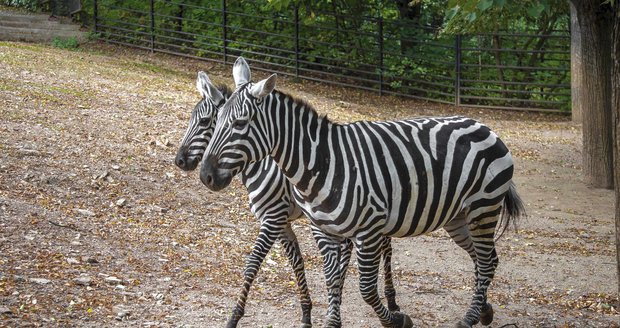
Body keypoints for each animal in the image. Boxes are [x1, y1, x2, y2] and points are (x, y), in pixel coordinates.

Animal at [173, 72, 402, 328]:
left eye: (203, 122)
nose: (179, 161)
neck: (262, 164)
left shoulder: (273, 216)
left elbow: (253, 264)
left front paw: (234, 316)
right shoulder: (282, 222)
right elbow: (296, 261)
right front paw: (307, 312)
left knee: (385, 247)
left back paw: (391, 300)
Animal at [200, 57, 528, 328]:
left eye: (240, 123)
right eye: (216, 122)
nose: (205, 175)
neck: (321, 162)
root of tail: (482, 125)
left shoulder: (367, 229)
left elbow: (366, 289)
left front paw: (396, 320)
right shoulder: (324, 230)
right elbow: (332, 279)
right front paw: (332, 323)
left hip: (483, 208)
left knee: (485, 261)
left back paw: (469, 318)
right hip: (458, 217)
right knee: (486, 260)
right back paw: (484, 311)